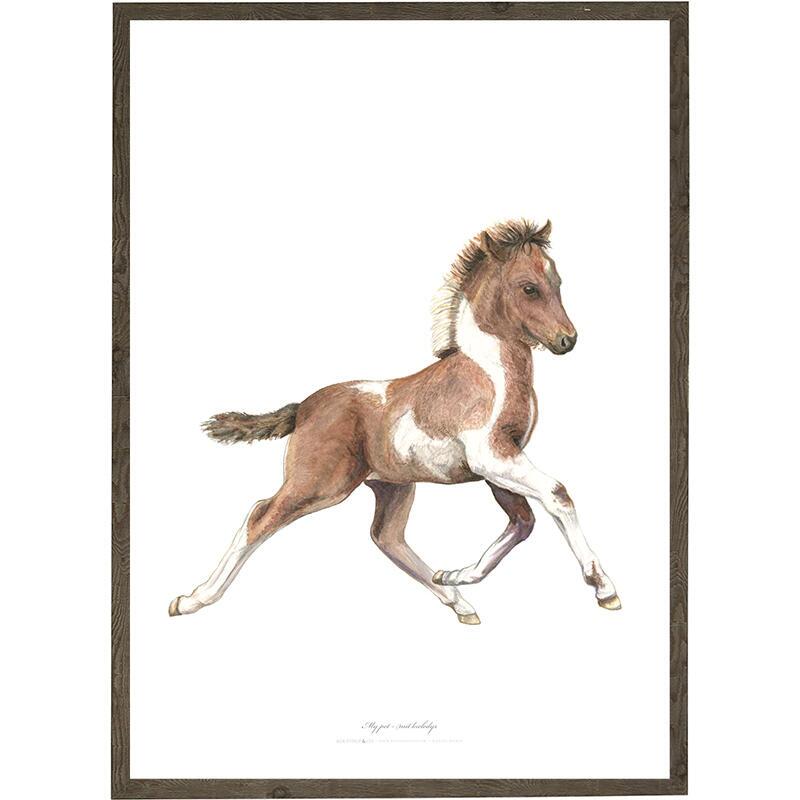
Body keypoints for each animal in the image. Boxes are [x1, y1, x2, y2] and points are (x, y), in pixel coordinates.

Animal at [168, 219, 620, 625]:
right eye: (529, 287)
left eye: (558, 282)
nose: (567, 340)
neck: (488, 370)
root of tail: (304, 407)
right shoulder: (492, 456)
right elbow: (556, 495)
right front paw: (604, 588)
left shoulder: (498, 465)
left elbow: (523, 523)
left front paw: (458, 574)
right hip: (320, 484)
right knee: (260, 515)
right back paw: (192, 600)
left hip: (392, 486)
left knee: (386, 538)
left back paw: (457, 600)